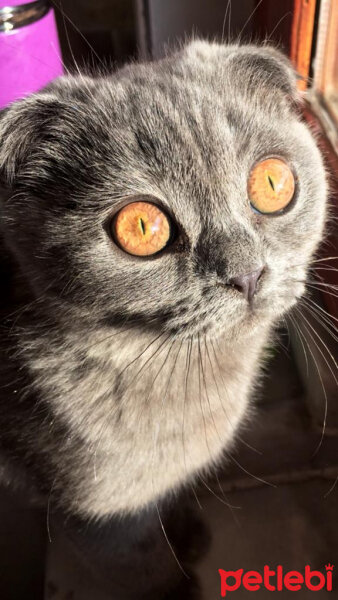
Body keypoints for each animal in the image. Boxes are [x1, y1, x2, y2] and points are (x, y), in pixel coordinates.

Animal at [0, 39, 328, 596]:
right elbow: (145, 566)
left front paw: (185, 532)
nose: (246, 273)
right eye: (141, 227)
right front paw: (177, 585)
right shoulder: (103, 519)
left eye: (272, 182)